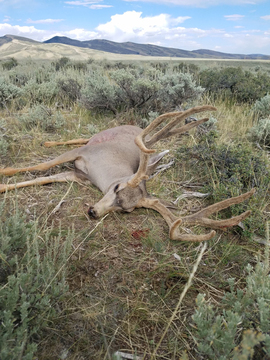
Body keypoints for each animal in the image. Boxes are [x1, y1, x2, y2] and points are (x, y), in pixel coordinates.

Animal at [0, 106, 255, 242]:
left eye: (126, 210)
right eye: (116, 188)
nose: (93, 212)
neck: (102, 172)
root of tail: (140, 129)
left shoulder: (78, 176)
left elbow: (41, 179)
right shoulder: (83, 153)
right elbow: (40, 167)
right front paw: (4, 172)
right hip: (96, 138)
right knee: (80, 137)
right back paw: (48, 142)